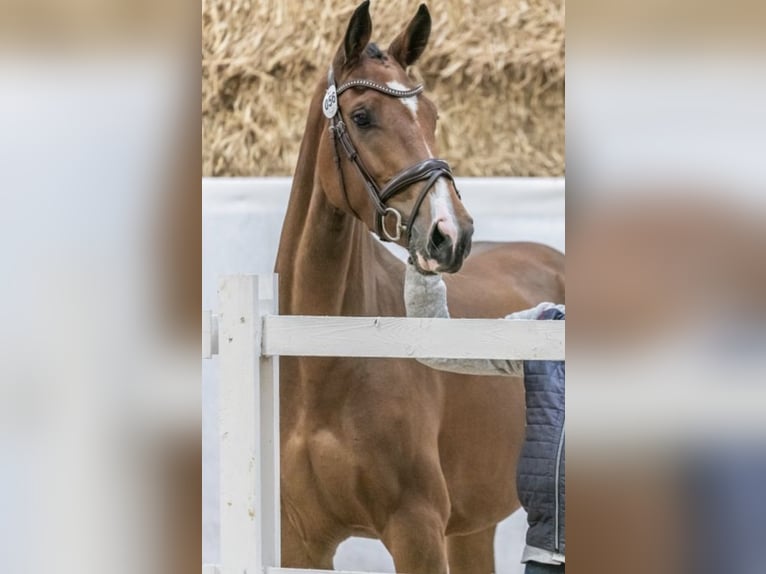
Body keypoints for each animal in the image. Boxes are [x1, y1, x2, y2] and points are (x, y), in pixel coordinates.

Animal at [276, 2, 564, 572]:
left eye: (431, 116)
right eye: (362, 117)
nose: (452, 233)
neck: (326, 365)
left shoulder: (416, 530)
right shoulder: (300, 541)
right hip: (473, 524)